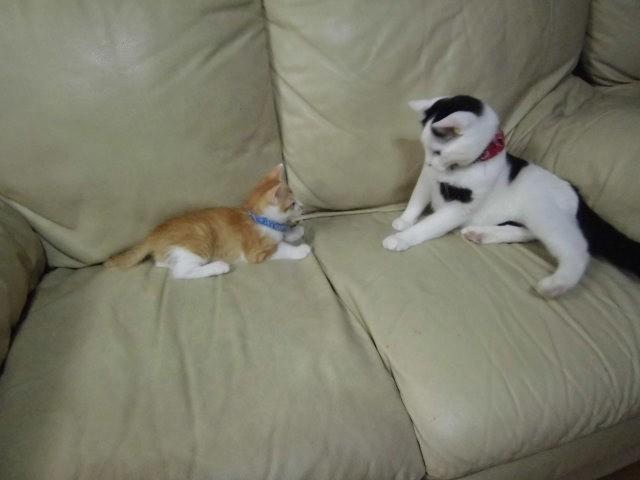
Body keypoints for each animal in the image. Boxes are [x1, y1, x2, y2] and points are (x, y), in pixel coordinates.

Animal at [106, 164, 311, 278]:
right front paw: (301, 249)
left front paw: (294, 232)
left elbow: (283, 235)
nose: (302, 206)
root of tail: (152, 235)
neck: (259, 219)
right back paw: (218, 267)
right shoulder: (256, 252)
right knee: (180, 272)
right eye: (292, 203)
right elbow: (280, 247)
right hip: (199, 237)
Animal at [383, 95, 640, 297]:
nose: (428, 163)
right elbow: (417, 198)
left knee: (577, 247)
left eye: (437, 151)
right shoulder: (428, 179)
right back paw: (482, 234)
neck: (462, 168)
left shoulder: (460, 207)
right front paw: (404, 221)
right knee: (527, 233)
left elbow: (429, 225)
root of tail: (574, 191)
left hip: (545, 214)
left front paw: (402, 238)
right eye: (426, 150)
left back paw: (555, 285)